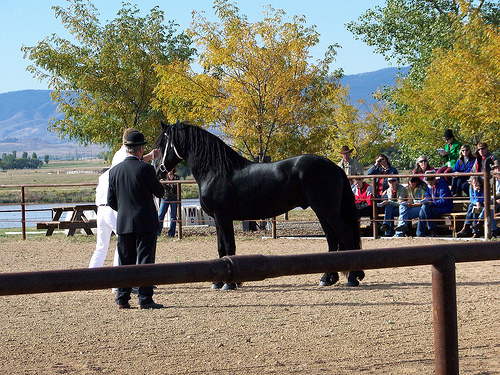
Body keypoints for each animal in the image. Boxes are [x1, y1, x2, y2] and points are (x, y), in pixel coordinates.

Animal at [153, 122, 364, 290]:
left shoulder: (223, 216)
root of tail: (334, 166)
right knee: (332, 239)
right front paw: (218, 282)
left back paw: (352, 278)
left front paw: (230, 283)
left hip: (327, 210)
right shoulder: (218, 218)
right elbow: (221, 248)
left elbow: (229, 246)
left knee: (345, 234)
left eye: (162, 145)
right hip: (322, 211)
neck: (216, 170)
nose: (158, 171)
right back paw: (327, 278)